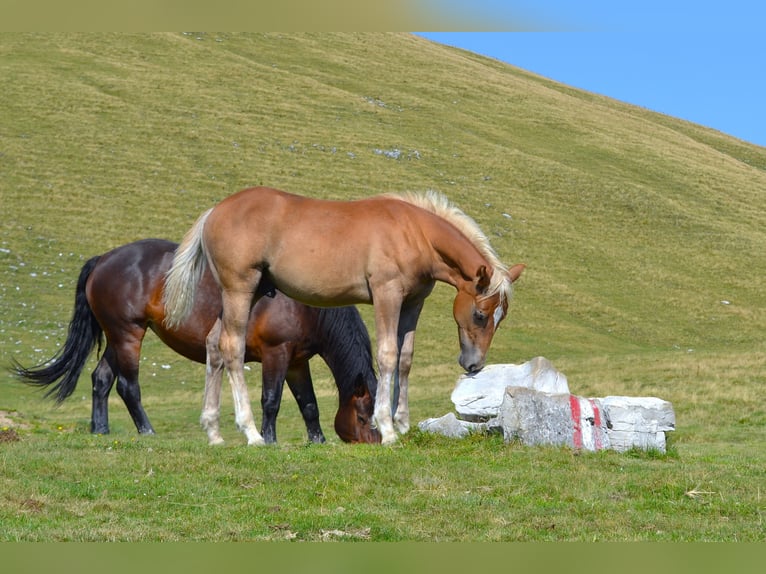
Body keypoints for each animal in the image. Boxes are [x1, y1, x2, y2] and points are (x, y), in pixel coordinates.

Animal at [13, 239, 381, 445]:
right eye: (364, 418)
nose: (374, 443)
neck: (303, 305)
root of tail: (104, 258)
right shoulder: (277, 354)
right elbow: (271, 400)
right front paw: (270, 438)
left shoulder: (297, 361)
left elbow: (309, 404)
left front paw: (317, 440)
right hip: (128, 334)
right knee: (127, 387)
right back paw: (147, 431)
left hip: (118, 338)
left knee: (101, 379)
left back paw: (100, 429)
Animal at [163, 187, 524, 445]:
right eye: (480, 315)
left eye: (501, 318)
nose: (474, 364)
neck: (414, 232)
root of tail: (214, 212)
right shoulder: (386, 295)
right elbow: (387, 355)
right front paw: (387, 428)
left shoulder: (413, 303)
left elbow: (405, 359)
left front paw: (402, 423)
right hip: (240, 289)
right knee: (232, 348)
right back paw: (251, 433)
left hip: (247, 295)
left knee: (214, 345)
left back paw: (214, 432)